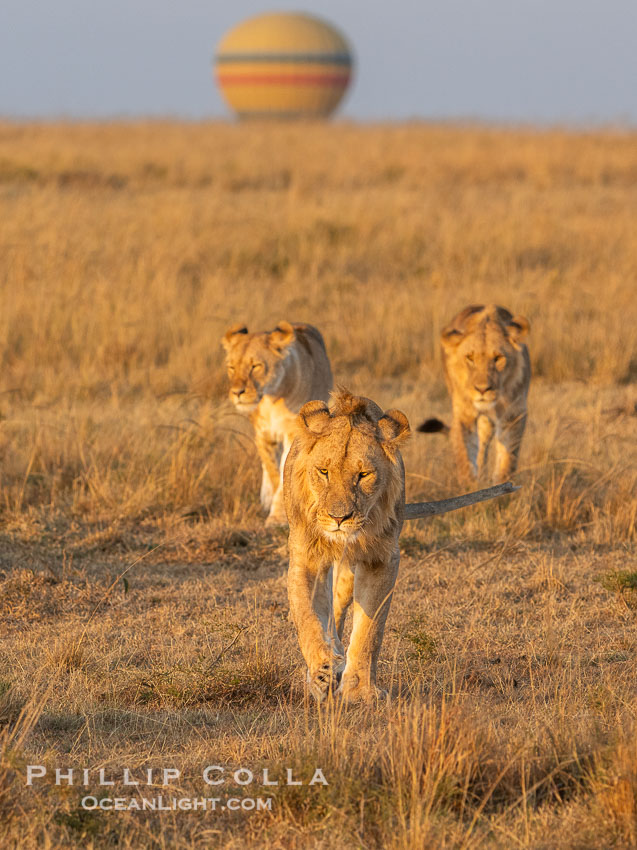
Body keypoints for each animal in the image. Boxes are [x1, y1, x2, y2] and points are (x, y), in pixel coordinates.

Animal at [222, 321, 333, 525]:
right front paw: (273, 503)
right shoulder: (263, 434)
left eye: (255, 366)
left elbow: (285, 471)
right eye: (232, 367)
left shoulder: (293, 433)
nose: (237, 392)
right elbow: (272, 469)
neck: (270, 399)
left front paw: (278, 516)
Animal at [417, 304, 531, 485]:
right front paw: (470, 486)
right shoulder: (464, 414)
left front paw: (501, 486)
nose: (482, 389)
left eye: (498, 357)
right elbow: (465, 455)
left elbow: (507, 460)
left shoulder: (514, 414)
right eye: (470, 357)